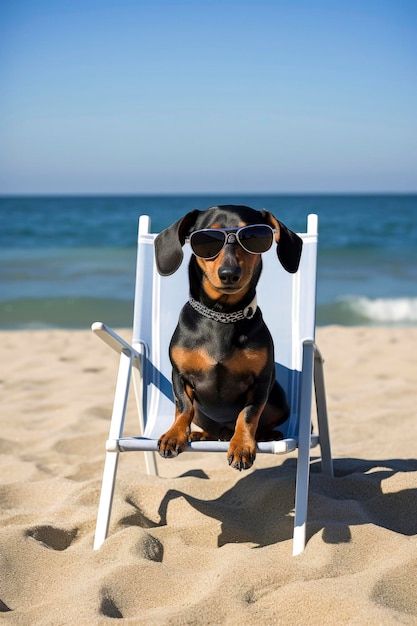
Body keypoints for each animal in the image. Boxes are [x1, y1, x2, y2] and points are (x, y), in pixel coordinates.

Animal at [153, 205, 302, 468]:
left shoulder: (260, 382)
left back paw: (268, 435)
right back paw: (200, 434)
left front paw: (242, 445)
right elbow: (184, 407)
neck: (222, 316)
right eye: (206, 239)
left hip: (280, 402)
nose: (229, 273)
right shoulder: (179, 375)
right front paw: (174, 435)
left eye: (252, 237)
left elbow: (248, 414)